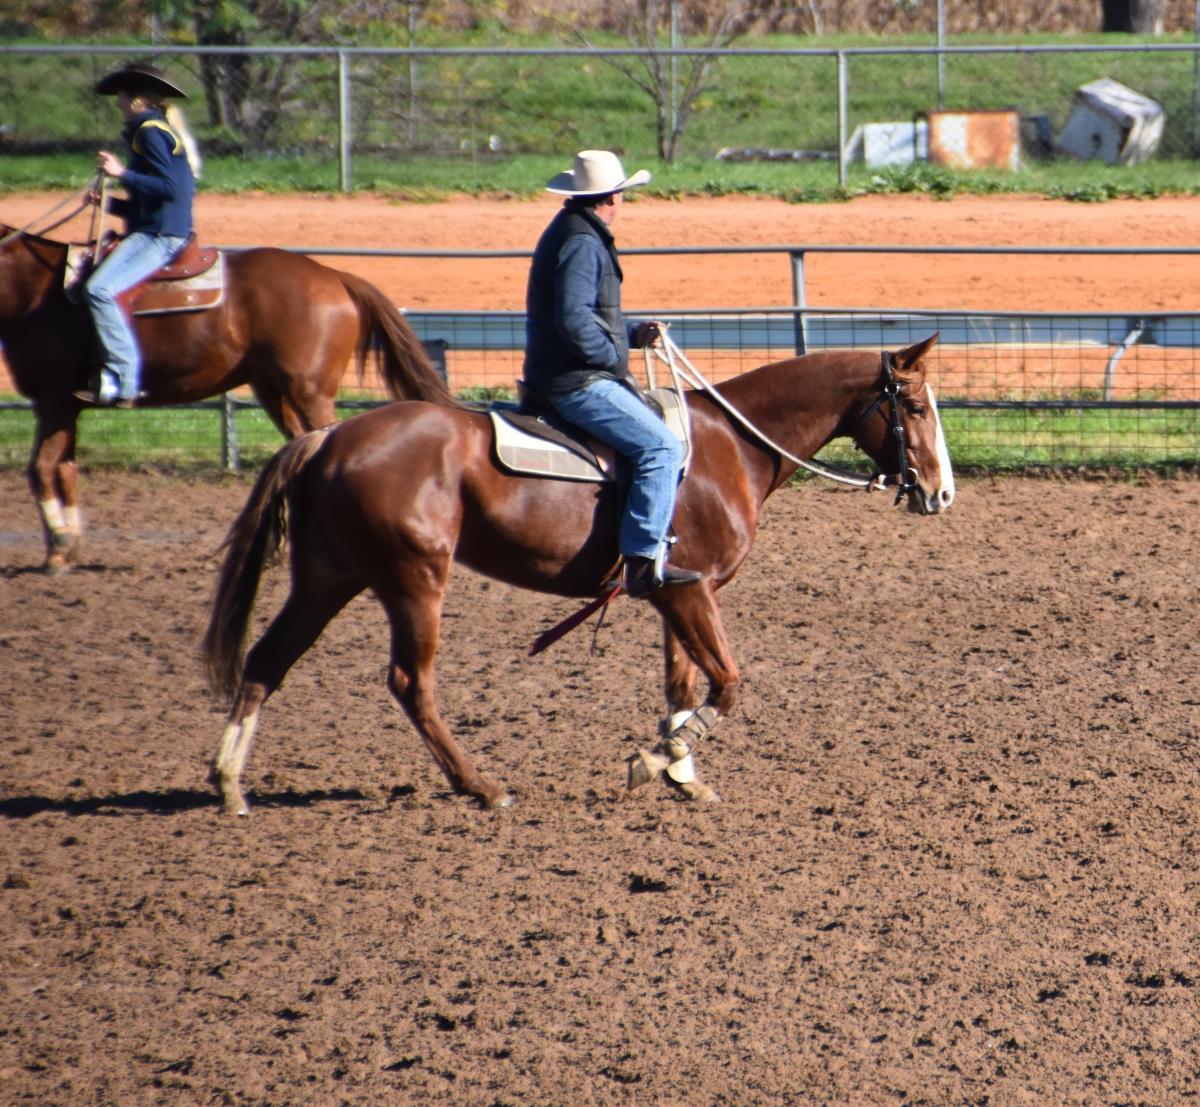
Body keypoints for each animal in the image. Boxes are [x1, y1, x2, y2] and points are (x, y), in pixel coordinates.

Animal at [0, 222, 452, 572]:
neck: (33, 288)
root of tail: (333, 276)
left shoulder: (54, 399)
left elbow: (42, 468)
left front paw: (58, 550)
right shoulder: (65, 406)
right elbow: (64, 467)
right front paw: (67, 547)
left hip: (308, 391)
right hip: (273, 389)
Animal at [202, 334, 955, 815]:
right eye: (915, 407)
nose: (941, 493)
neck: (729, 448)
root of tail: (329, 436)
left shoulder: (676, 590)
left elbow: (683, 684)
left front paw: (681, 772)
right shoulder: (692, 591)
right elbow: (728, 683)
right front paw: (655, 762)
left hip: (328, 576)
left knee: (267, 659)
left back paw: (230, 784)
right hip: (413, 580)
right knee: (411, 682)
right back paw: (482, 786)